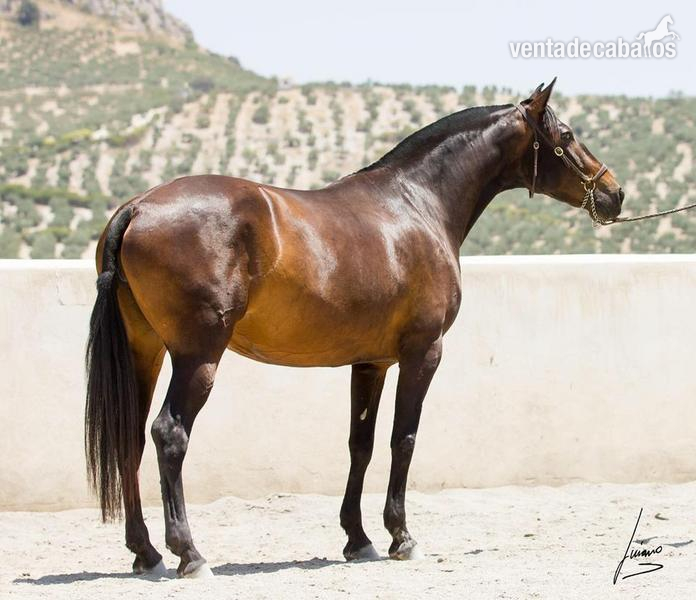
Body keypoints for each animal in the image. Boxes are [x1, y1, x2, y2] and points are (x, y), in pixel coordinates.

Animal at [85, 79, 624, 578]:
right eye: (566, 134)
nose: (614, 193)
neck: (416, 204)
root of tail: (140, 207)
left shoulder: (371, 362)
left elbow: (359, 445)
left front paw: (358, 538)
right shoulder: (423, 352)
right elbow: (403, 439)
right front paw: (401, 537)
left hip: (145, 351)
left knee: (131, 437)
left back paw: (146, 552)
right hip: (197, 357)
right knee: (169, 434)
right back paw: (190, 554)